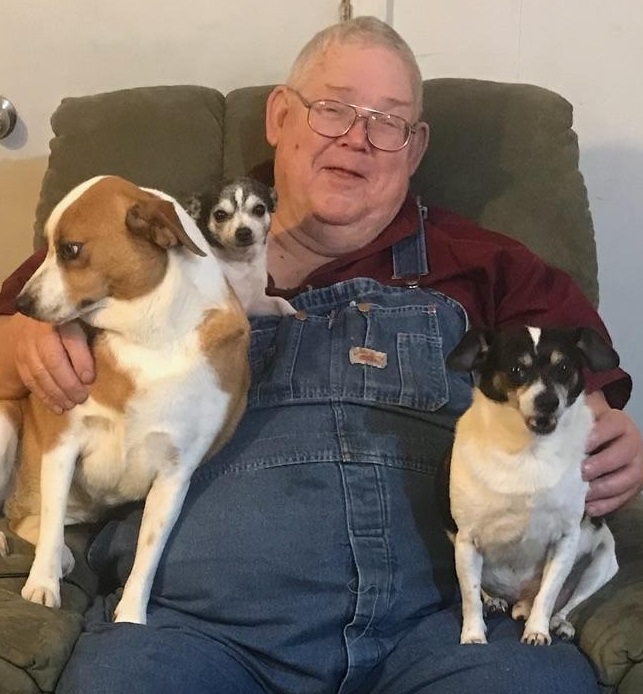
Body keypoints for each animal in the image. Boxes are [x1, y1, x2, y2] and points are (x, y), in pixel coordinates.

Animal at [0, 175, 250, 624]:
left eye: (70, 250)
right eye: (45, 248)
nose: (20, 304)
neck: (146, 337)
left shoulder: (173, 477)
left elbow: (147, 556)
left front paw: (131, 616)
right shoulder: (62, 444)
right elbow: (51, 524)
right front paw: (42, 585)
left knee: (28, 518)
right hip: (5, 423)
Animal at [182, 177, 295, 316]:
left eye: (259, 209)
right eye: (220, 215)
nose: (243, 232)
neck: (241, 262)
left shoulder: (255, 303)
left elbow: (279, 301)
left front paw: (293, 313)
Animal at [441, 325, 620, 646]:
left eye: (564, 368)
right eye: (516, 370)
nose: (548, 401)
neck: (528, 452)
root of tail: (518, 601)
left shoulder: (565, 541)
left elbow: (547, 594)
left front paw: (538, 630)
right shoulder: (466, 542)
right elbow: (469, 596)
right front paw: (473, 635)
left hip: (603, 561)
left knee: (567, 601)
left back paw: (556, 622)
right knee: (481, 589)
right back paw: (495, 600)